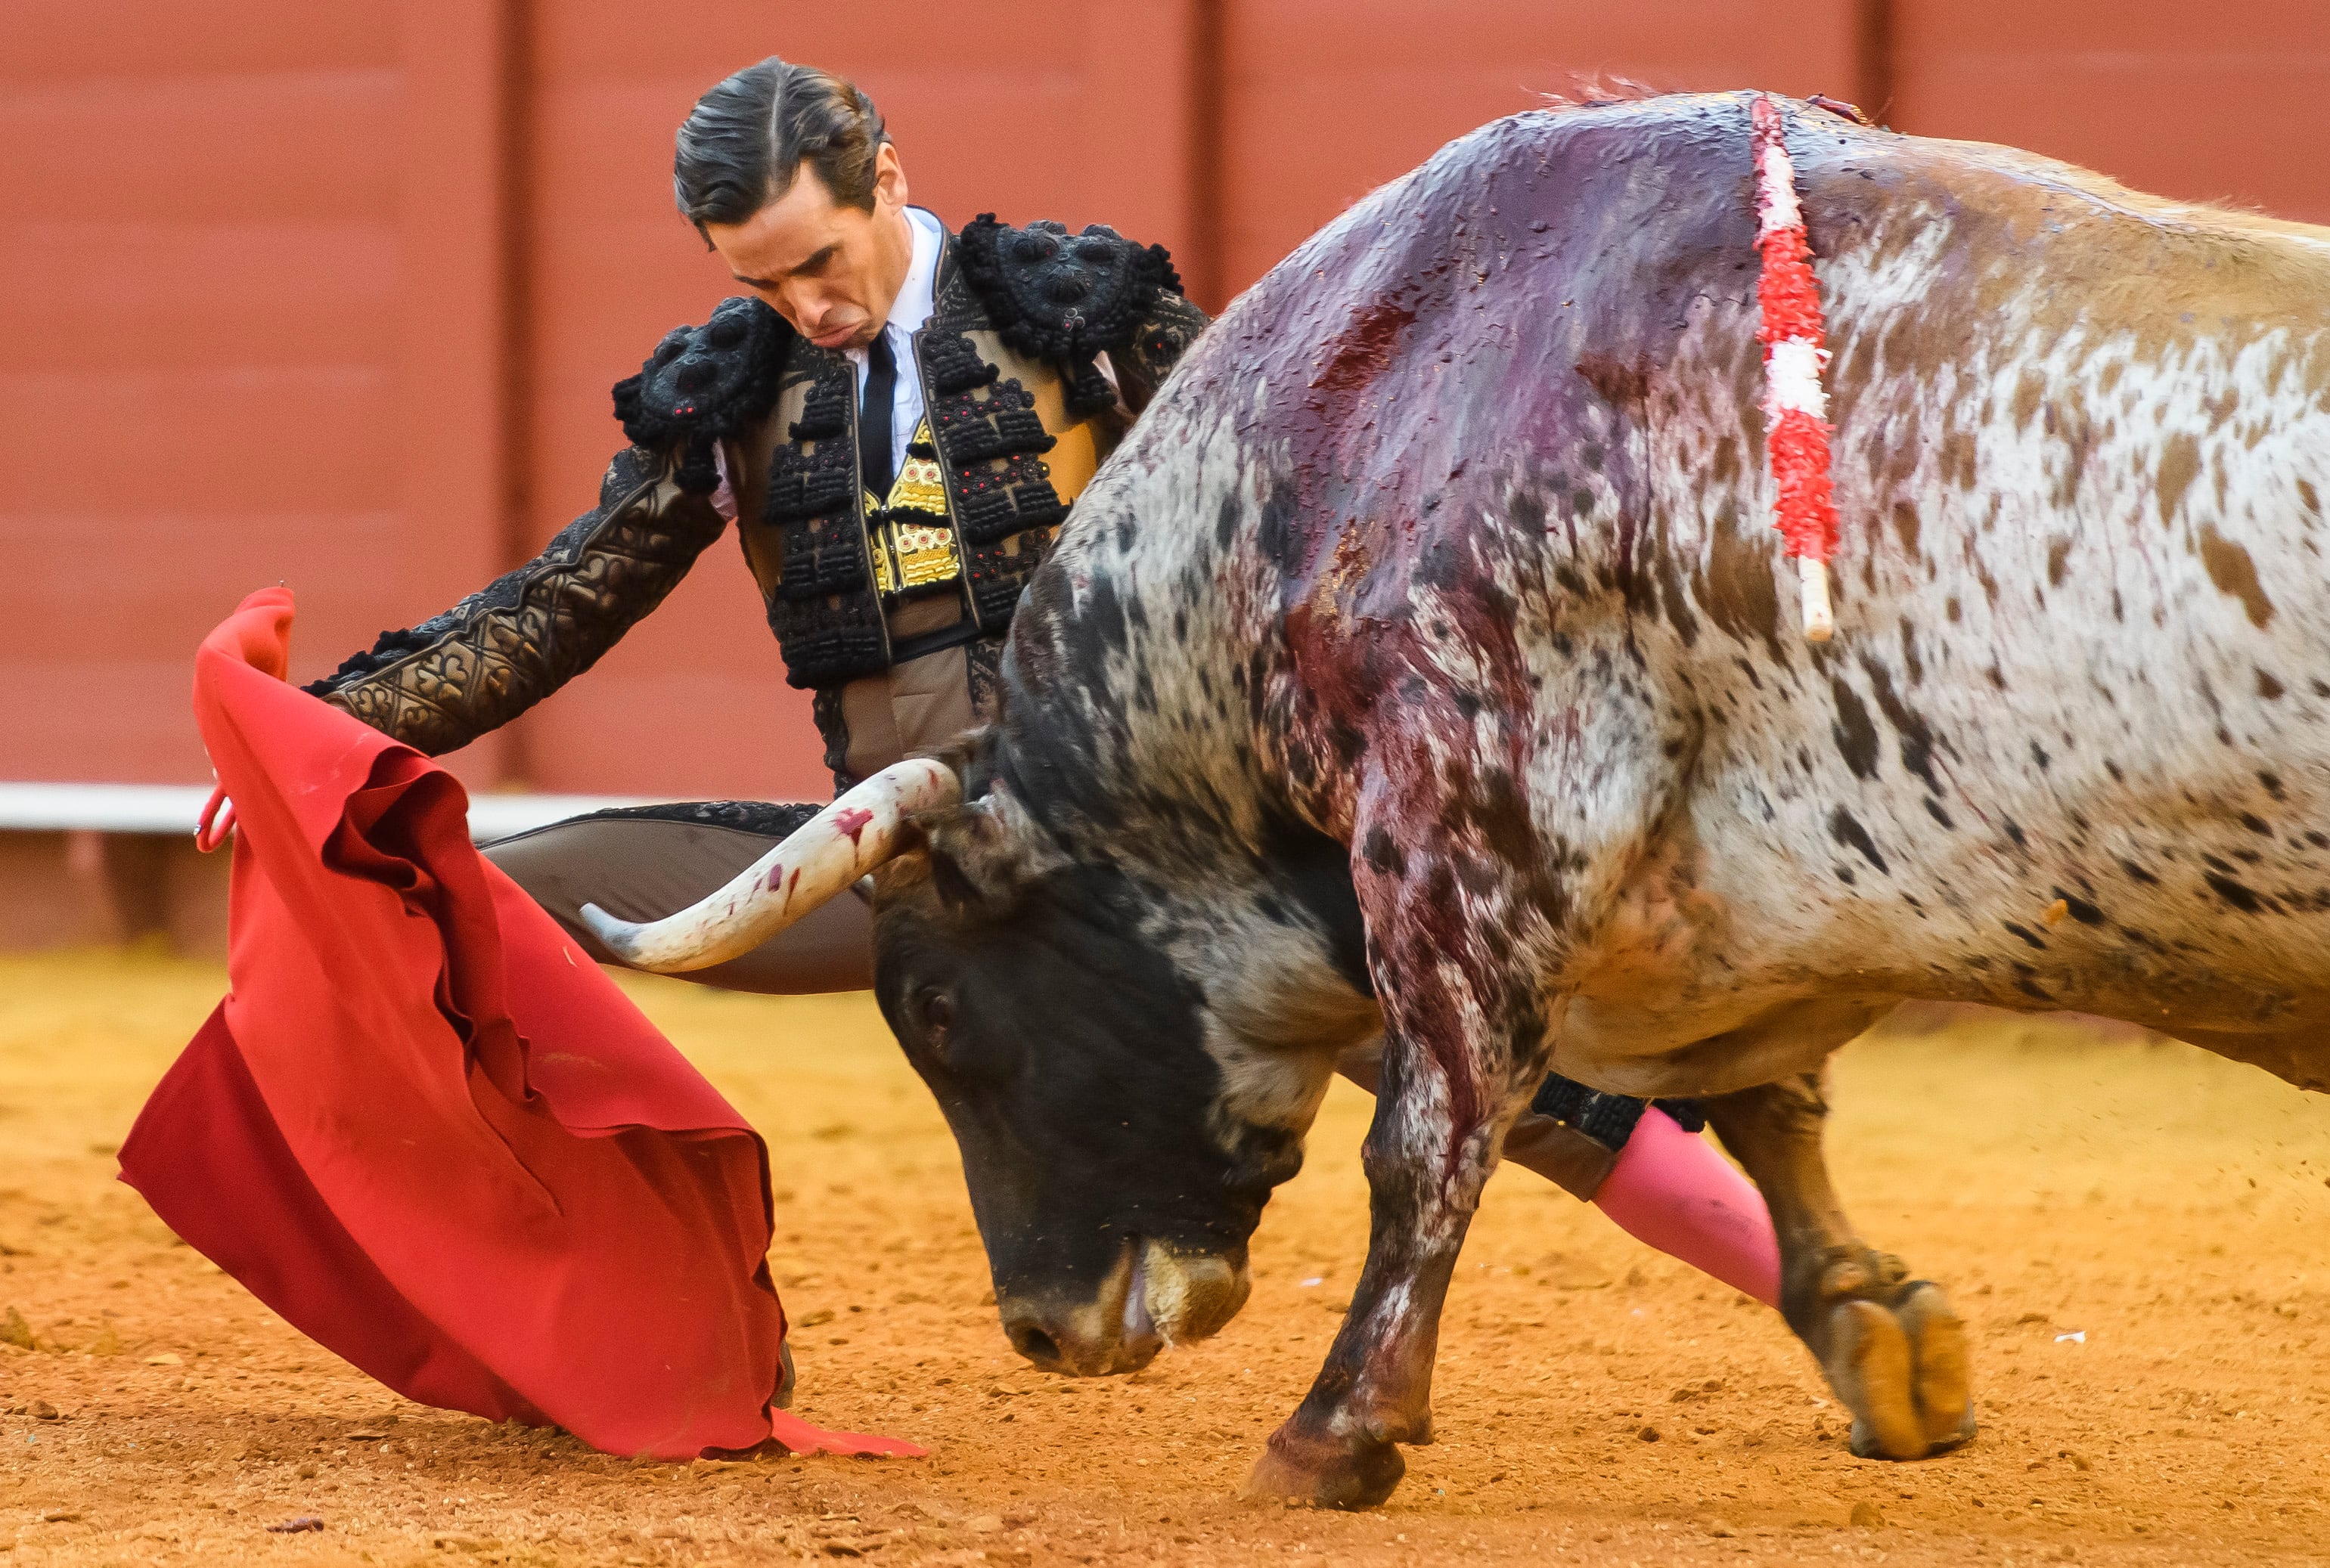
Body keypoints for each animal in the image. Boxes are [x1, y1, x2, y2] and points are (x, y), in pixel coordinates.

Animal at [591, 95, 2330, 1500]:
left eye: (941, 1015)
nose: (1041, 1327)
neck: (1340, 448)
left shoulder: (1464, 829)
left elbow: (1427, 1140)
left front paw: (1330, 1434)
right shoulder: (1700, 912)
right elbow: (1767, 1107)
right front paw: (1879, 1336)